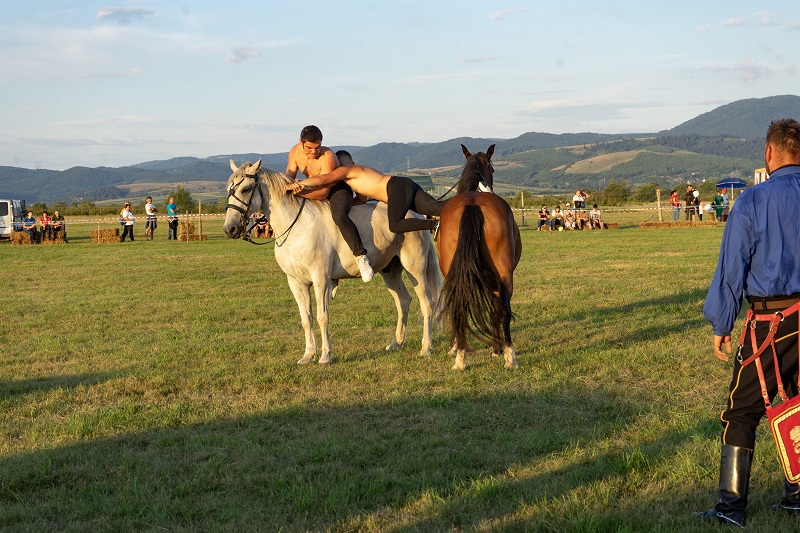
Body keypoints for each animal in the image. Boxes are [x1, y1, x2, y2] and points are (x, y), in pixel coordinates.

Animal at [222, 158, 440, 364]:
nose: (230, 228)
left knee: (427, 304)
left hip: (415, 269)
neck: (296, 226)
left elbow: (322, 317)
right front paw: (308, 355)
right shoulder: (296, 282)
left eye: (245, 189)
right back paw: (396, 343)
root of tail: (416, 216)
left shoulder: (321, 279)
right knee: (403, 301)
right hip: (390, 271)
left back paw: (426, 348)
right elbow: (306, 318)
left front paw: (326, 355)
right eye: (228, 190)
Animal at [434, 145, 520, 370]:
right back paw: (509, 355)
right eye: (493, 168)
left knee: (460, 308)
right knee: (503, 309)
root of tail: (473, 204)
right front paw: (497, 349)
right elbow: (495, 311)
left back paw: (460, 357)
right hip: (503, 273)